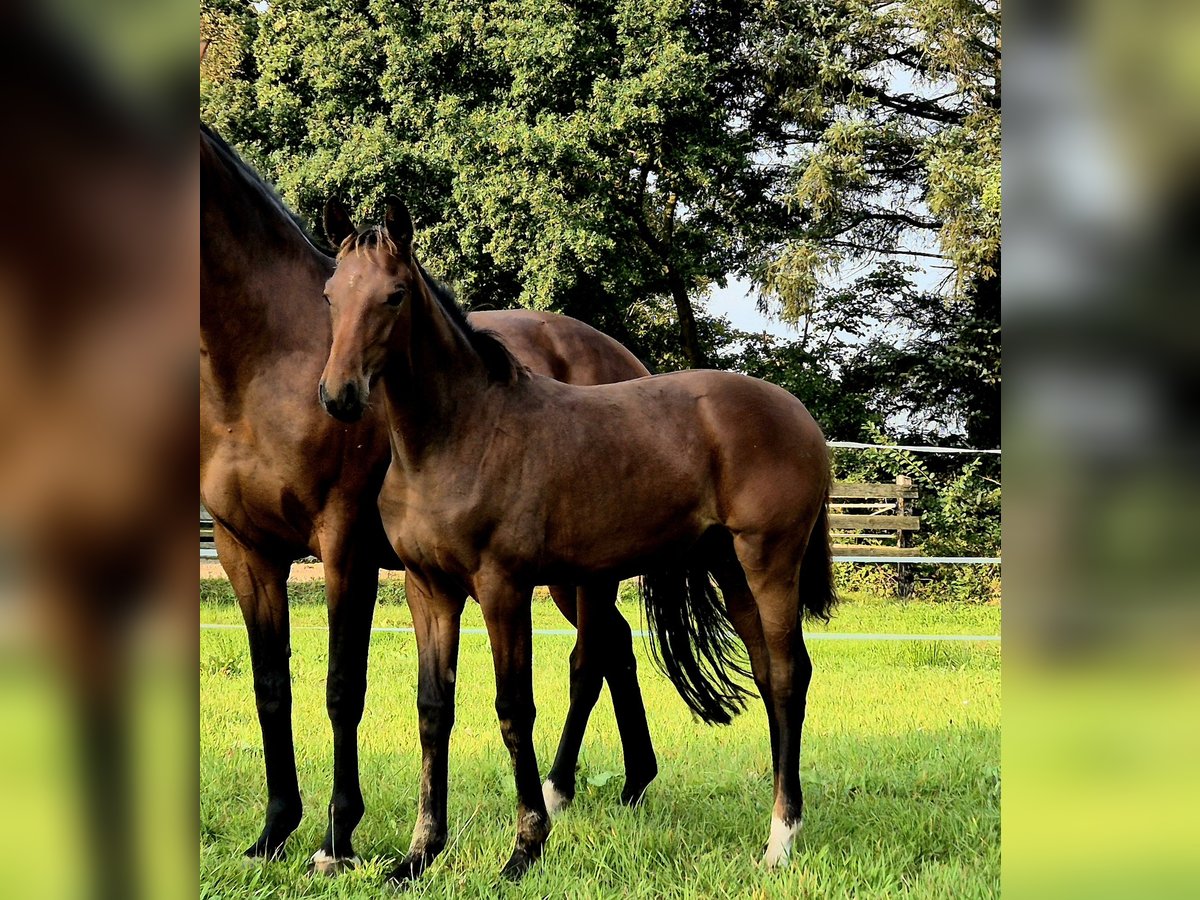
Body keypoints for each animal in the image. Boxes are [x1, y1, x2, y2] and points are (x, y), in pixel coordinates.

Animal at [201, 127, 662, 873]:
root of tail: (626, 362)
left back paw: (563, 789)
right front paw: (273, 832)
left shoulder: (344, 547)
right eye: (329, 298)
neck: (266, 361)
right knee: (613, 647)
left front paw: (337, 839)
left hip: (578, 573)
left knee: (591, 657)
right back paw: (623, 781)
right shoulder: (246, 549)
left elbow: (342, 687)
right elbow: (272, 687)